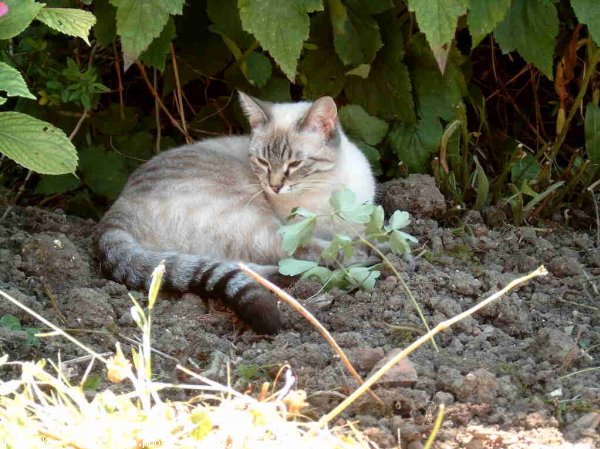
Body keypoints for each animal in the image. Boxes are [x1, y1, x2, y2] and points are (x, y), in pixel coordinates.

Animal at [95, 93, 376, 332]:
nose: (274, 186)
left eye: (294, 164)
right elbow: (331, 247)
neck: (326, 189)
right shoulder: (294, 230)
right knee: (285, 260)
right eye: (262, 162)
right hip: (254, 221)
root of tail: (112, 218)